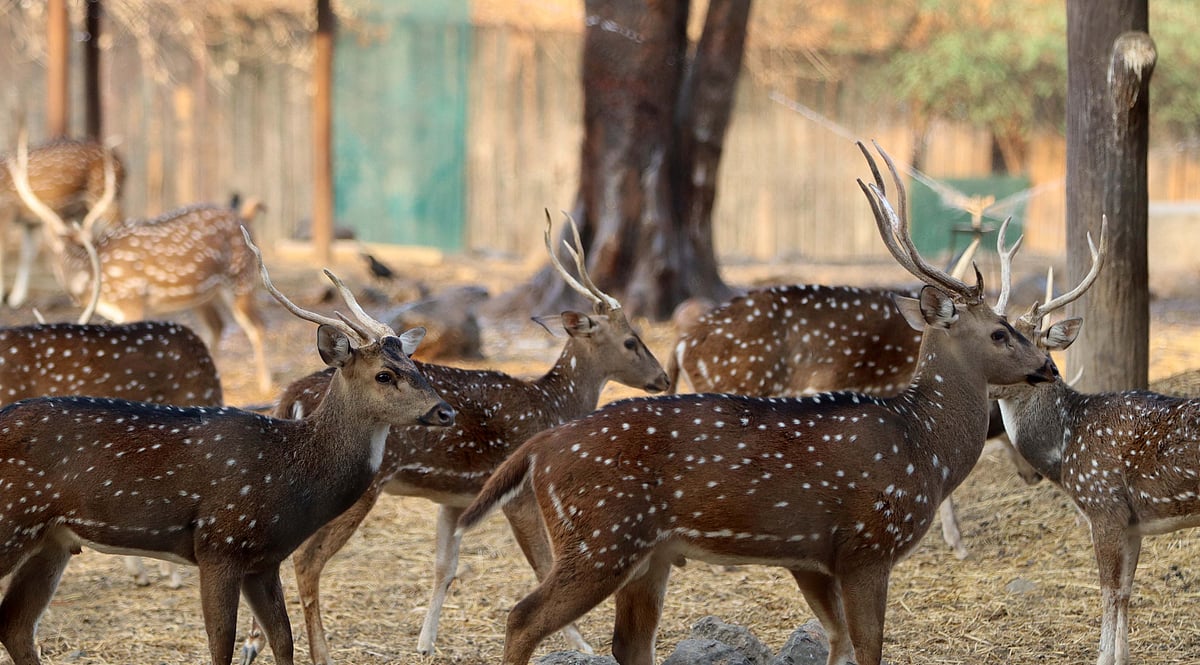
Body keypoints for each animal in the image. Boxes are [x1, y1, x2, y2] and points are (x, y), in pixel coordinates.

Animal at [0, 136, 125, 309]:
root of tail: (123, 165)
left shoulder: (6, 209)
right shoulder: (29, 221)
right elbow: (27, 254)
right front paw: (15, 299)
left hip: (103, 195)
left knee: (118, 224)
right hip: (81, 211)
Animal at [0, 227, 456, 665]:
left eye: (414, 365)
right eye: (384, 375)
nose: (446, 411)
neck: (291, 477)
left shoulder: (264, 561)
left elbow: (283, 642)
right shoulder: (220, 544)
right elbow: (221, 646)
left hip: (52, 539)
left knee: (16, 627)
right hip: (14, 519)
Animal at [239, 211, 671, 665]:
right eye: (631, 340)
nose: (663, 378)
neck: (554, 403)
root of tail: (288, 396)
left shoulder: (454, 499)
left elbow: (445, 568)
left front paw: (425, 643)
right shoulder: (518, 494)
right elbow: (541, 564)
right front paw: (581, 644)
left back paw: (252, 644)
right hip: (361, 486)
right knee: (308, 559)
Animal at [456, 141, 1058, 665]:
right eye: (1000, 332)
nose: (1049, 367)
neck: (922, 447)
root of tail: (541, 447)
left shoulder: (811, 557)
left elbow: (838, 643)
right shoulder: (866, 545)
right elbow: (867, 648)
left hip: (647, 554)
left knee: (628, 643)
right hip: (600, 538)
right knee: (522, 617)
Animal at [988, 214, 1196, 665]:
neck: (1065, 451)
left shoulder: (1103, 506)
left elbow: (1107, 592)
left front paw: (1102, 657)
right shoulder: (1133, 523)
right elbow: (1126, 592)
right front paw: (1122, 657)